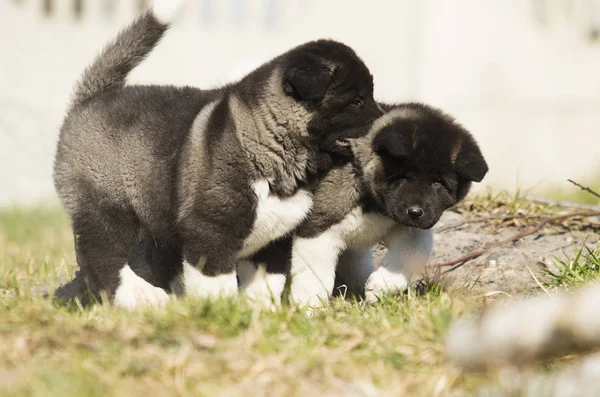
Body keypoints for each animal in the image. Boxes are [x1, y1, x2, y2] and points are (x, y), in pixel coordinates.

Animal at [51, 0, 382, 310]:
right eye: (357, 101)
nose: (384, 121)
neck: (272, 140)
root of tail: (93, 96)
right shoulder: (211, 230)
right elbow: (216, 282)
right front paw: (219, 310)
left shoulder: (274, 239)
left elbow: (266, 282)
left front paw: (261, 312)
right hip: (105, 206)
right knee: (104, 256)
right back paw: (142, 296)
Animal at [237, 101, 490, 306]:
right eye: (403, 176)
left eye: (438, 183)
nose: (415, 212)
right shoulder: (317, 230)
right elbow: (315, 277)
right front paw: (309, 309)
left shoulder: (407, 226)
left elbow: (414, 249)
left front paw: (382, 285)